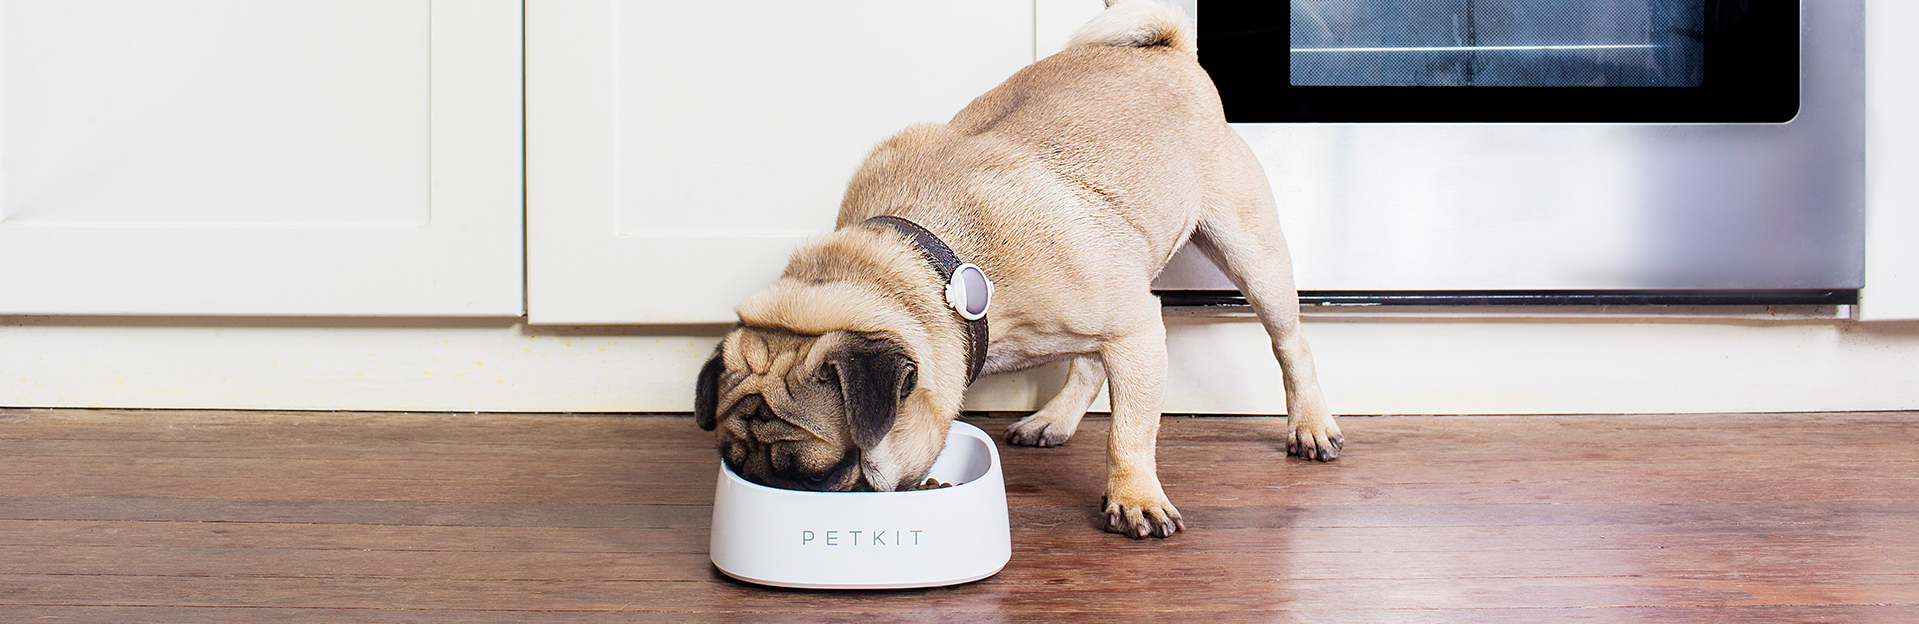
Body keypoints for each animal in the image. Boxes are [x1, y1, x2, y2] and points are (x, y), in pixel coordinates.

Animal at [693, 0, 1341, 539]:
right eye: (731, 461)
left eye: (816, 474)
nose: (768, 488)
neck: (931, 264)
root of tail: (1171, 53)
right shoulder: (1119, 329)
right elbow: (1107, 388)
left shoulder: (1136, 331)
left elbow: (1131, 432)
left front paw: (1134, 496)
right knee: (1086, 365)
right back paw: (1053, 419)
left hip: (1252, 254)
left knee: (1290, 343)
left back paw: (1310, 426)